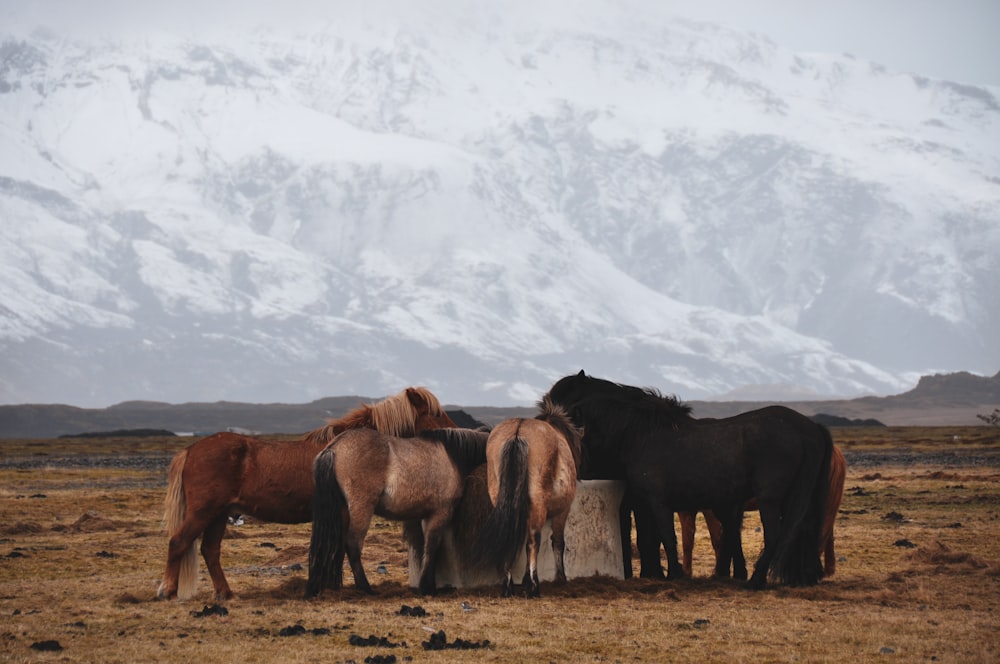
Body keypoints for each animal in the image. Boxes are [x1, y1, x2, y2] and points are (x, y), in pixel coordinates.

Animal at [157, 386, 458, 600]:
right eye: (435, 413)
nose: (455, 432)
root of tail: (190, 450)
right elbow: (342, 548)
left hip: (219, 514)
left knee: (210, 550)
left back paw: (226, 593)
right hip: (204, 511)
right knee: (178, 542)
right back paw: (168, 591)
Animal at [306, 428, 490, 600]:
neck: (452, 456)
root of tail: (334, 447)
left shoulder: (427, 516)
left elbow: (426, 547)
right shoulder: (441, 513)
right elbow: (432, 547)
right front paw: (428, 588)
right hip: (361, 509)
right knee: (352, 545)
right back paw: (366, 588)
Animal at [470, 396, 584, 600]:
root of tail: (518, 432)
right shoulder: (562, 511)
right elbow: (558, 542)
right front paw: (560, 577)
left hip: (500, 499)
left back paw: (508, 586)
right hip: (538, 503)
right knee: (534, 539)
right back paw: (533, 586)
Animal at [676, 446, 848, 580]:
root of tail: (837, 454)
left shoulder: (712, 510)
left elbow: (717, 539)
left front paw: (718, 572)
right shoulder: (686, 511)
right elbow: (687, 541)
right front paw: (686, 572)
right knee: (826, 532)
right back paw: (827, 570)